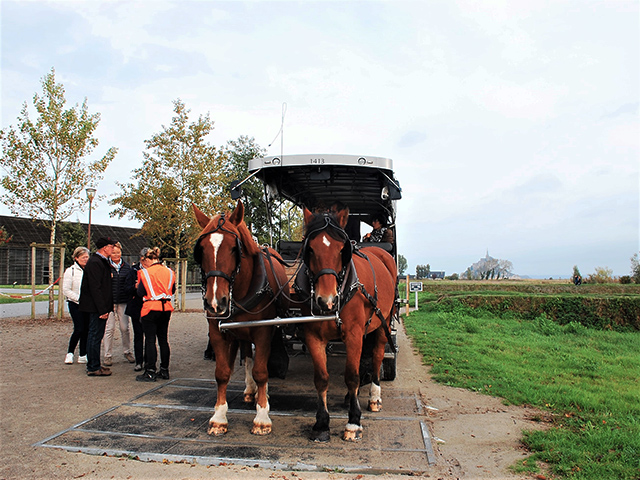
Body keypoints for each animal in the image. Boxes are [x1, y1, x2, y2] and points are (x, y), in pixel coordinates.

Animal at [191, 199, 288, 436]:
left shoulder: (263, 331)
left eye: (235, 248)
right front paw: (219, 417)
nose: (216, 302)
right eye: (202, 249)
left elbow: (262, 371)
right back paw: (250, 389)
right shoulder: (218, 332)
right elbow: (222, 373)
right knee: (247, 355)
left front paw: (262, 417)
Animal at [298, 206, 396, 442]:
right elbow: (321, 378)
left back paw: (374, 397)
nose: (326, 300)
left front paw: (353, 422)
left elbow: (351, 376)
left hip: (384, 323)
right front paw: (322, 424)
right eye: (310, 249)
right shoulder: (313, 336)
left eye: (342, 249)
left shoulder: (353, 334)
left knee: (377, 355)